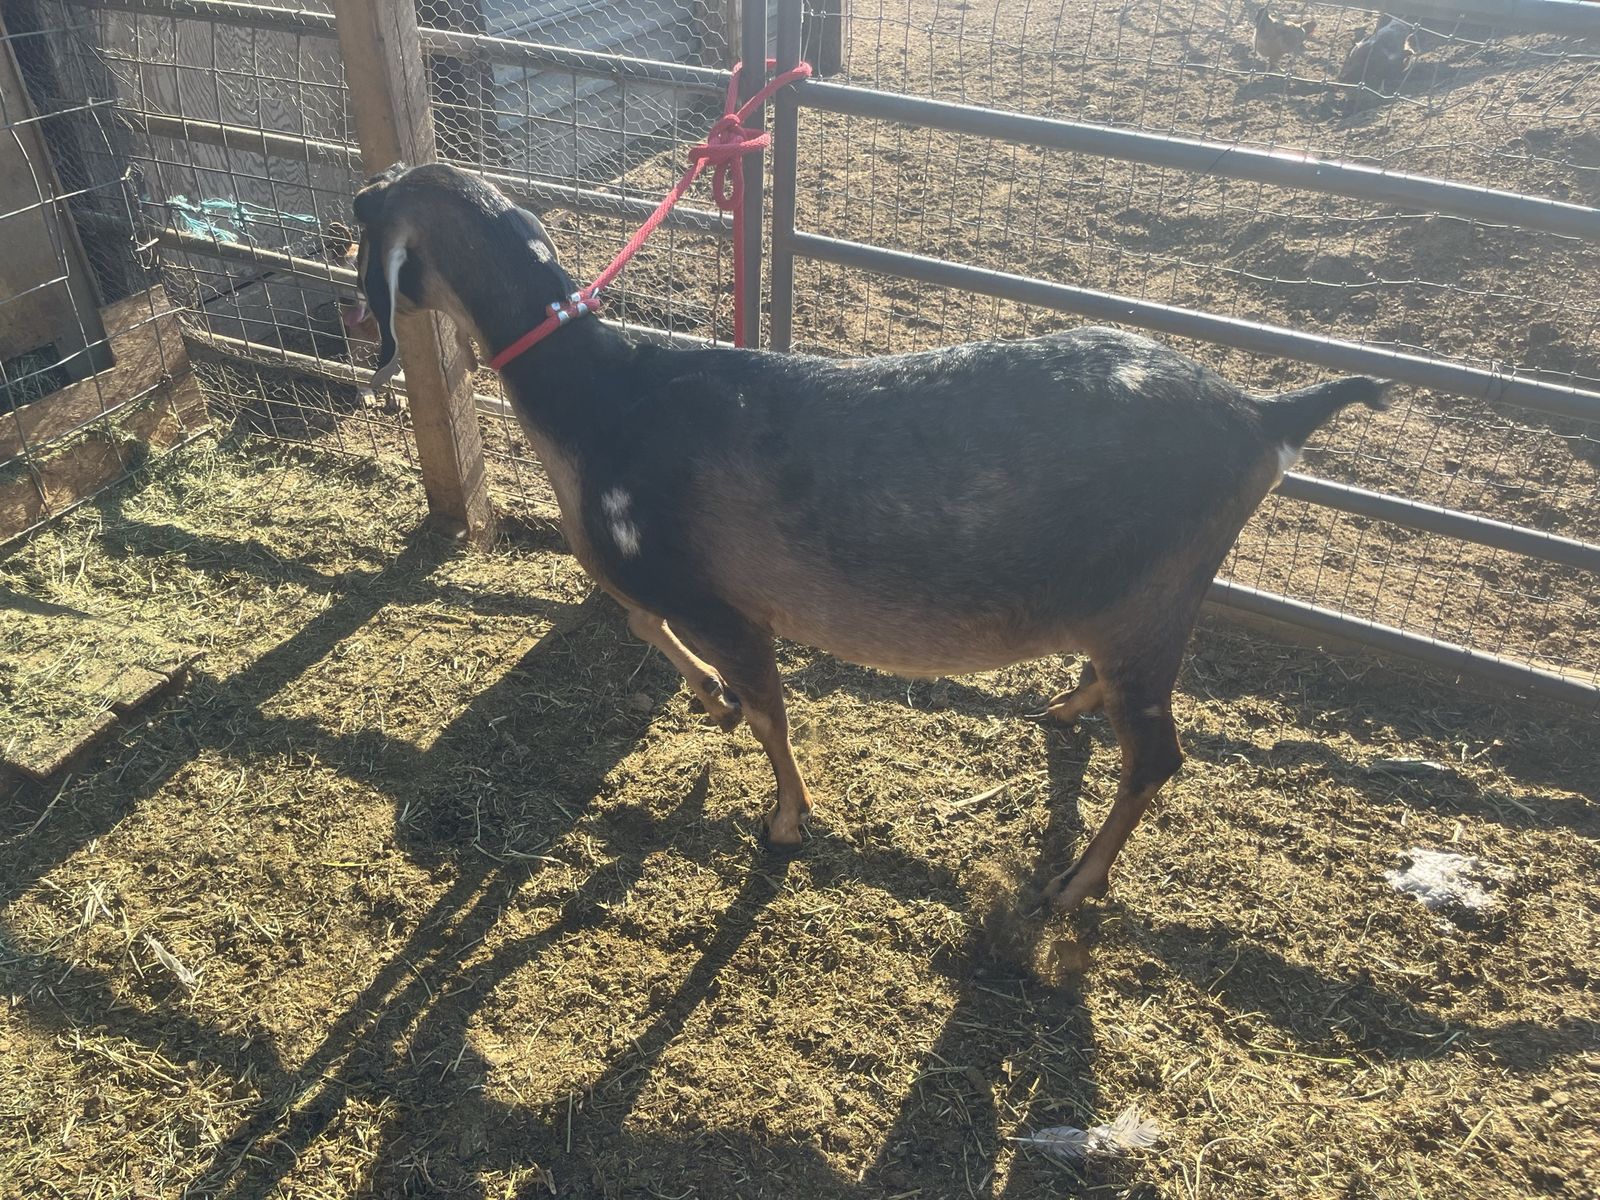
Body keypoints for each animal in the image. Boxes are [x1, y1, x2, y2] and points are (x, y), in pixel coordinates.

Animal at [350, 162, 1390, 913]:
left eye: (367, 219)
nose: (360, 324)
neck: (599, 401)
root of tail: (1265, 416)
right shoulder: (664, 583)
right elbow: (646, 626)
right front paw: (710, 702)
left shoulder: (721, 599)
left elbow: (768, 711)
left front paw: (784, 820)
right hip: (1139, 603)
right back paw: (1065, 705)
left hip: (1156, 595)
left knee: (1159, 756)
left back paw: (1072, 886)